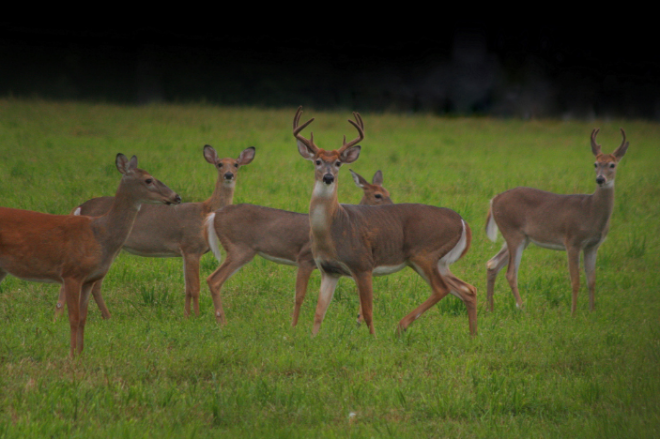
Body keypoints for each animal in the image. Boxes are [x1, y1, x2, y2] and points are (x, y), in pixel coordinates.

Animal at [0, 155, 180, 358]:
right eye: (148, 180)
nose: (176, 197)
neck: (100, 233)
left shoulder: (88, 279)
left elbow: (83, 319)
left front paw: (81, 353)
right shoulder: (71, 273)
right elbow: (73, 317)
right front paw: (71, 356)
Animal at [53, 146, 255, 322]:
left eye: (236, 164)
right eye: (219, 164)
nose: (228, 175)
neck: (205, 212)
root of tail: (79, 207)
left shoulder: (185, 252)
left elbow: (187, 287)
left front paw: (186, 316)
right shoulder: (191, 246)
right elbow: (194, 287)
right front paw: (196, 317)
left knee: (91, 284)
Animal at [206, 170, 392, 328]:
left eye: (388, 193)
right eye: (378, 195)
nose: (392, 206)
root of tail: (214, 215)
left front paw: (358, 321)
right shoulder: (305, 258)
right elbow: (300, 295)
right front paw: (293, 326)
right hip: (239, 248)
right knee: (213, 279)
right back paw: (222, 322)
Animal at [292, 107, 474, 336]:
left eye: (338, 163)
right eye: (317, 161)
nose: (328, 177)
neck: (332, 228)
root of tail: (462, 222)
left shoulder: (362, 264)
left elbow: (368, 311)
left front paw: (372, 338)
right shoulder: (329, 271)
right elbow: (319, 312)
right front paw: (312, 338)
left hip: (425, 254)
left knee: (442, 288)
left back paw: (401, 325)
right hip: (440, 261)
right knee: (467, 289)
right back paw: (473, 335)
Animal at [484, 129, 628, 314]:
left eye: (612, 165)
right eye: (595, 164)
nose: (600, 179)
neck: (590, 211)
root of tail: (494, 199)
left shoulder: (593, 245)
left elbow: (592, 280)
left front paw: (592, 311)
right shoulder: (572, 241)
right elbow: (575, 280)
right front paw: (573, 313)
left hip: (523, 238)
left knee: (492, 264)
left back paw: (490, 308)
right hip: (512, 231)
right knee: (510, 273)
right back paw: (522, 307)